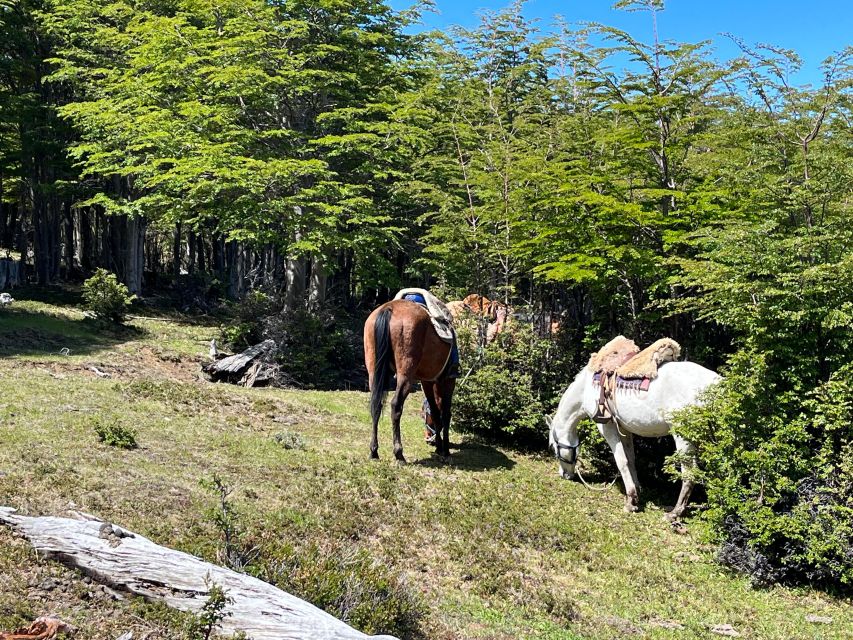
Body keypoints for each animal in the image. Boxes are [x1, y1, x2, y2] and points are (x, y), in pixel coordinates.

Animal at [366, 300, 460, 460]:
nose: (428, 438)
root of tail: (389, 308)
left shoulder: (427, 382)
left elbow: (435, 412)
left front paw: (439, 447)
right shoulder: (448, 381)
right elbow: (445, 414)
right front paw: (445, 450)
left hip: (374, 372)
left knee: (376, 405)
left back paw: (374, 451)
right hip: (406, 375)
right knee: (396, 405)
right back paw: (399, 453)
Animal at [544, 362, 720, 516]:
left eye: (553, 447)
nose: (564, 475)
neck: (586, 388)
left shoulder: (607, 427)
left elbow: (621, 460)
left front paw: (631, 501)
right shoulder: (624, 428)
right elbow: (630, 459)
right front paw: (637, 491)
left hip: (683, 435)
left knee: (689, 473)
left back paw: (675, 514)